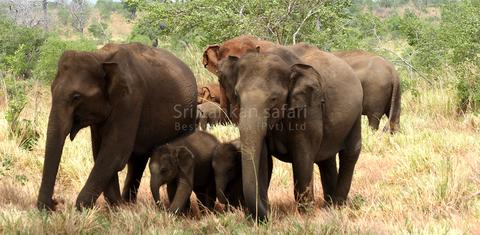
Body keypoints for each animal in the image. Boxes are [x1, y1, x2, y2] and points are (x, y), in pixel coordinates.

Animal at [37, 42, 199, 211]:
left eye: (76, 97)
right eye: (51, 90)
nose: (55, 203)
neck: (100, 56)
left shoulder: (130, 100)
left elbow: (114, 152)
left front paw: (82, 208)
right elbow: (101, 152)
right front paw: (117, 207)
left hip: (187, 117)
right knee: (137, 160)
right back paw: (128, 203)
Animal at [216, 45, 362, 220]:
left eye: (273, 99)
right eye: (237, 95)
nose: (268, 214)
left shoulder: (309, 108)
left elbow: (302, 155)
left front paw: (306, 215)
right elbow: (263, 158)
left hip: (356, 115)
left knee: (350, 153)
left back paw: (337, 205)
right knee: (326, 159)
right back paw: (329, 206)